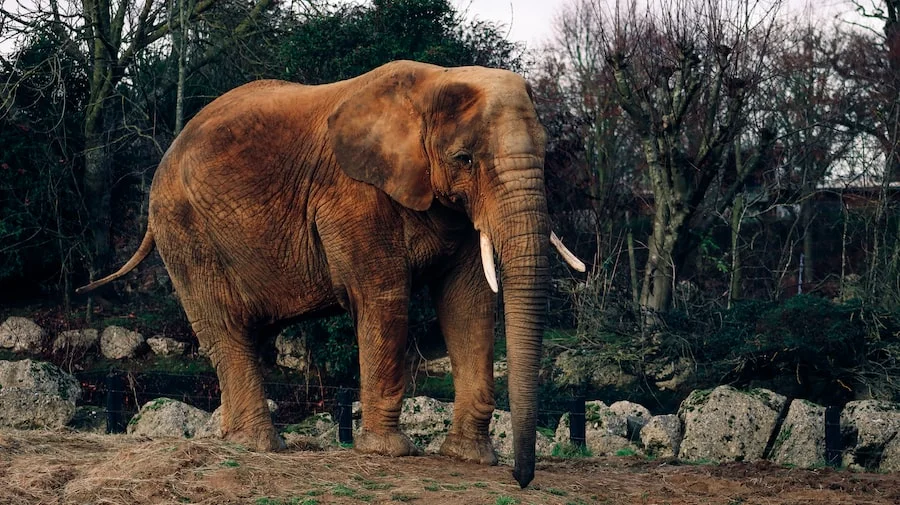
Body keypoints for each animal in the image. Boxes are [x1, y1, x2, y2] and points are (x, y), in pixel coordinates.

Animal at [75, 60, 584, 488]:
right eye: (464, 158)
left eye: (546, 154)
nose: (522, 480)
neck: (434, 81)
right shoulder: (351, 195)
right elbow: (384, 297)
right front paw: (390, 452)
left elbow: (469, 303)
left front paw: (470, 458)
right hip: (184, 232)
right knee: (227, 329)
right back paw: (261, 446)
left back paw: (240, 441)